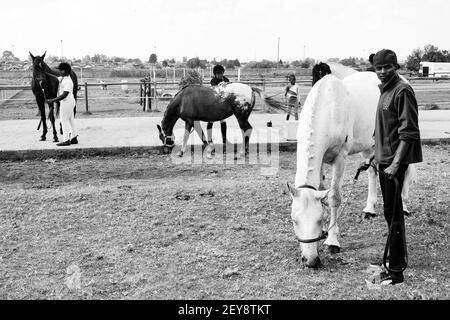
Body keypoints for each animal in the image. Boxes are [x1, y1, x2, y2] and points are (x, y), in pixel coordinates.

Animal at [286, 69, 416, 268]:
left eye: (317, 220)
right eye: (294, 220)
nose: (310, 261)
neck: (328, 109)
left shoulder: (341, 157)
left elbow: (333, 197)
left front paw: (332, 241)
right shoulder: (321, 160)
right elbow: (322, 192)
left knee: (405, 173)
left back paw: (405, 206)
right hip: (369, 146)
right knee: (372, 172)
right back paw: (369, 209)